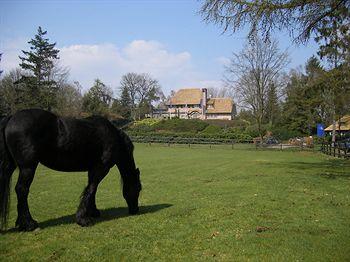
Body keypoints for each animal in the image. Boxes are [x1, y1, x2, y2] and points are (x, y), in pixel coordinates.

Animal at [0, 108, 142, 231]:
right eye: (139, 188)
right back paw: (29, 224)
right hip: (28, 168)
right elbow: (91, 188)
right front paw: (83, 219)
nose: (135, 210)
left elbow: (92, 189)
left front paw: (92, 212)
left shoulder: (93, 169)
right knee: (22, 190)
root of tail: (12, 117)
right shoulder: (101, 168)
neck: (114, 137)